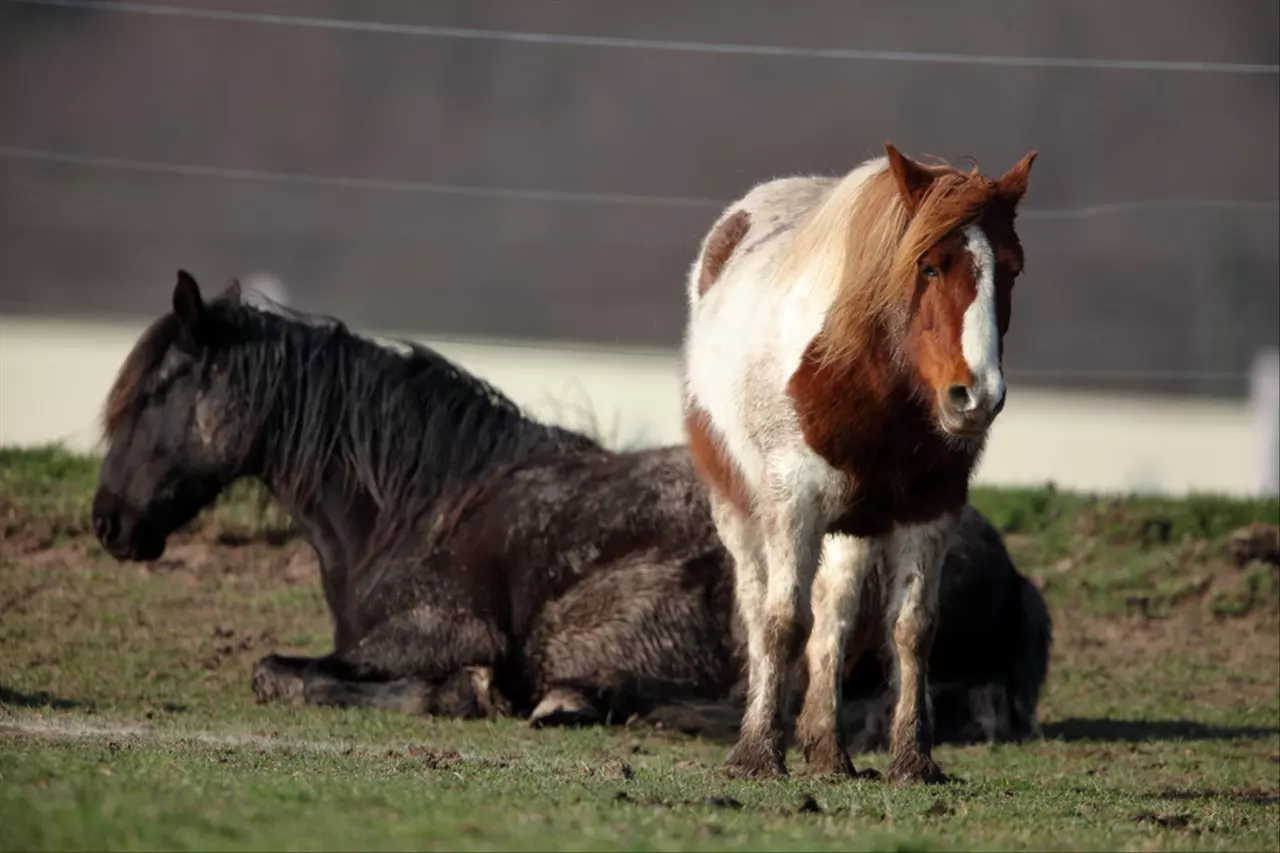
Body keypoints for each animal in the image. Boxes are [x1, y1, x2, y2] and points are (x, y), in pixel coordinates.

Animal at [87, 272, 1049, 753]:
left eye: (161, 388)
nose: (107, 520)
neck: (419, 503)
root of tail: (1010, 569)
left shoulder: (435, 635)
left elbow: (281, 671)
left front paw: (466, 694)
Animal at [686, 142, 1034, 778]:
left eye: (1012, 268)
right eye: (930, 266)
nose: (976, 397)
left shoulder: (930, 508)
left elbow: (911, 628)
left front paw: (913, 761)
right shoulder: (793, 502)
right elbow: (781, 622)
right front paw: (758, 755)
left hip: (856, 529)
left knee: (836, 618)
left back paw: (829, 751)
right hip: (739, 513)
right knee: (759, 609)